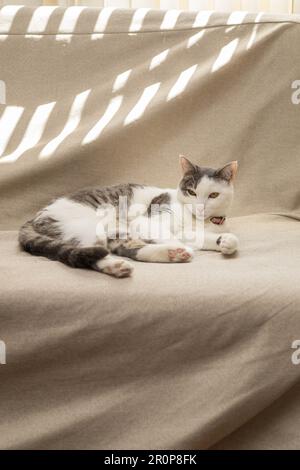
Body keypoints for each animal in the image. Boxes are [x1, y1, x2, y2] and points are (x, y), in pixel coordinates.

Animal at [18, 156, 239, 278]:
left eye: (213, 195)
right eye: (192, 192)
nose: (200, 207)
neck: (200, 221)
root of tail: (39, 213)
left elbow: (207, 238)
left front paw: (226, 241)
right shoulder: (147, 221)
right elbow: (169, 235)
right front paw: (182, 246)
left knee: (124, 249)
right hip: (97, 224)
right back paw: (174, 252)